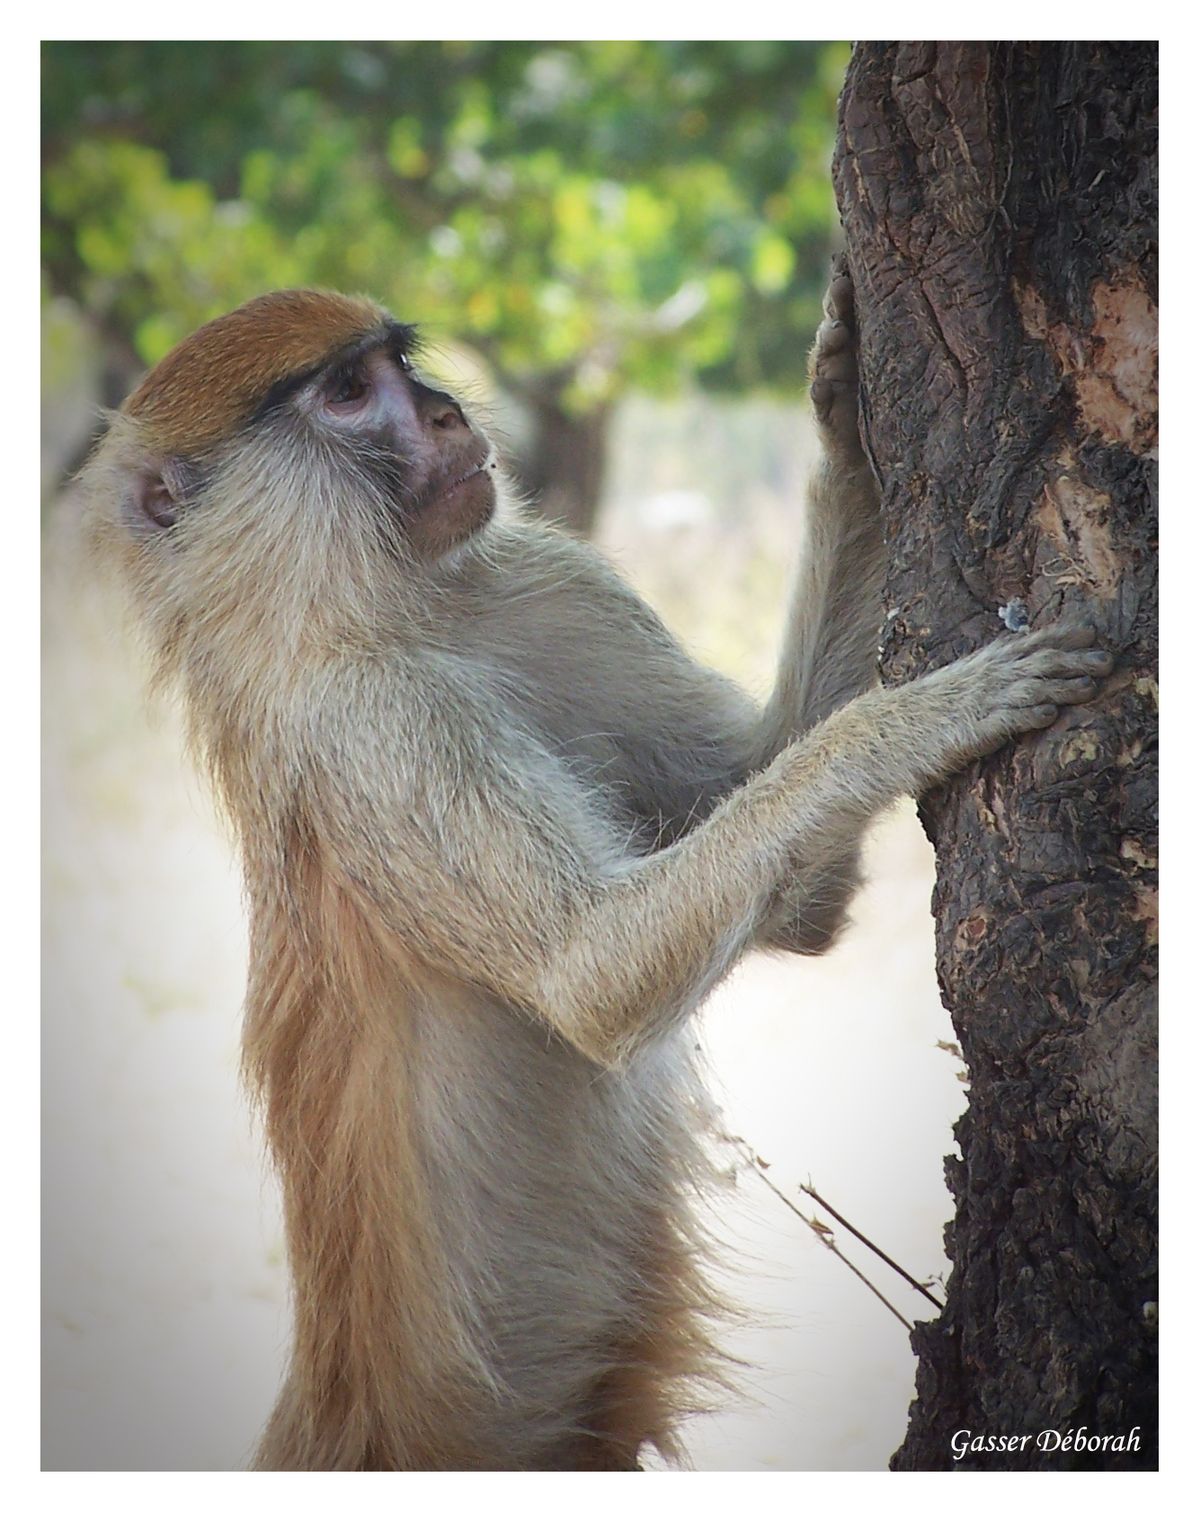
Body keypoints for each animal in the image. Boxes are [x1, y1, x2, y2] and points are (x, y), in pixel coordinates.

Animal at [79, 269, 1113, 1464]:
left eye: (399, 362)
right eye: (346, 392)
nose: (446, 413)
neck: (385, 607)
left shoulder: (545, 581)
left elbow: (782, 858)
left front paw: (847, 419)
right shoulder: (370, 725)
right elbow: (595, 974)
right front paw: (925, 714)